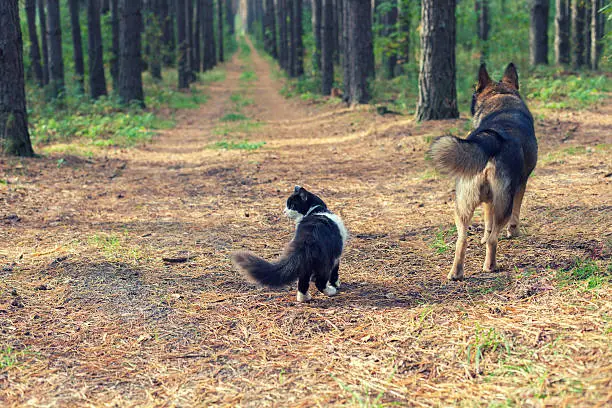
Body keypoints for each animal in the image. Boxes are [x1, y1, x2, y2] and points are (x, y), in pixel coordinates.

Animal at [430, 63, 536, 280]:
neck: (501, 98)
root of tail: (490, 140)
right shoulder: (521, 185)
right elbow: (515, 213)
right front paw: (514, 232)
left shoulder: (488, 201)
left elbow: (487, 222)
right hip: (504, 203)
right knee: (494, 238)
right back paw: (490, 266)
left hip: (462, 206)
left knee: (462, 240)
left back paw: (456, 273)